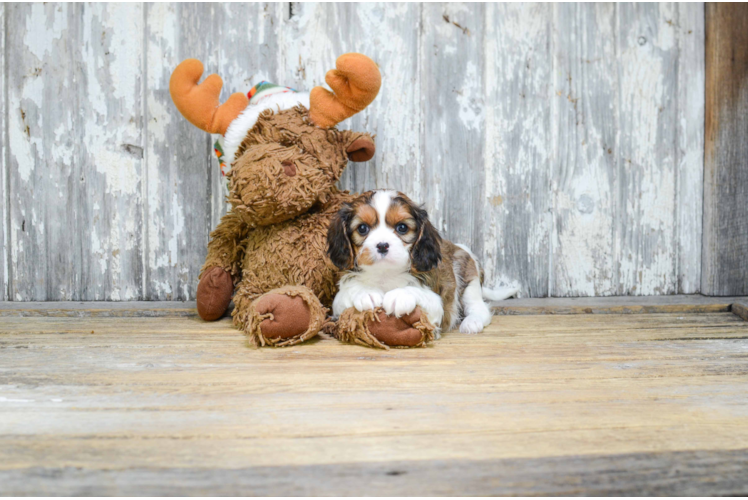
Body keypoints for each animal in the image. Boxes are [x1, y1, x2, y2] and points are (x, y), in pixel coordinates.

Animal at [328, 189, 516, 334]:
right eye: (362, 228)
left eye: (402, 228)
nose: (382, 245)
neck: (385, 274)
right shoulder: (337, 304)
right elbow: (349, 292)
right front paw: (366, 292)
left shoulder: (437, 304)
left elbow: (417, 293)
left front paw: (400, 295)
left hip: (469, 281)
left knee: (479, 308)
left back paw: (471, 323)